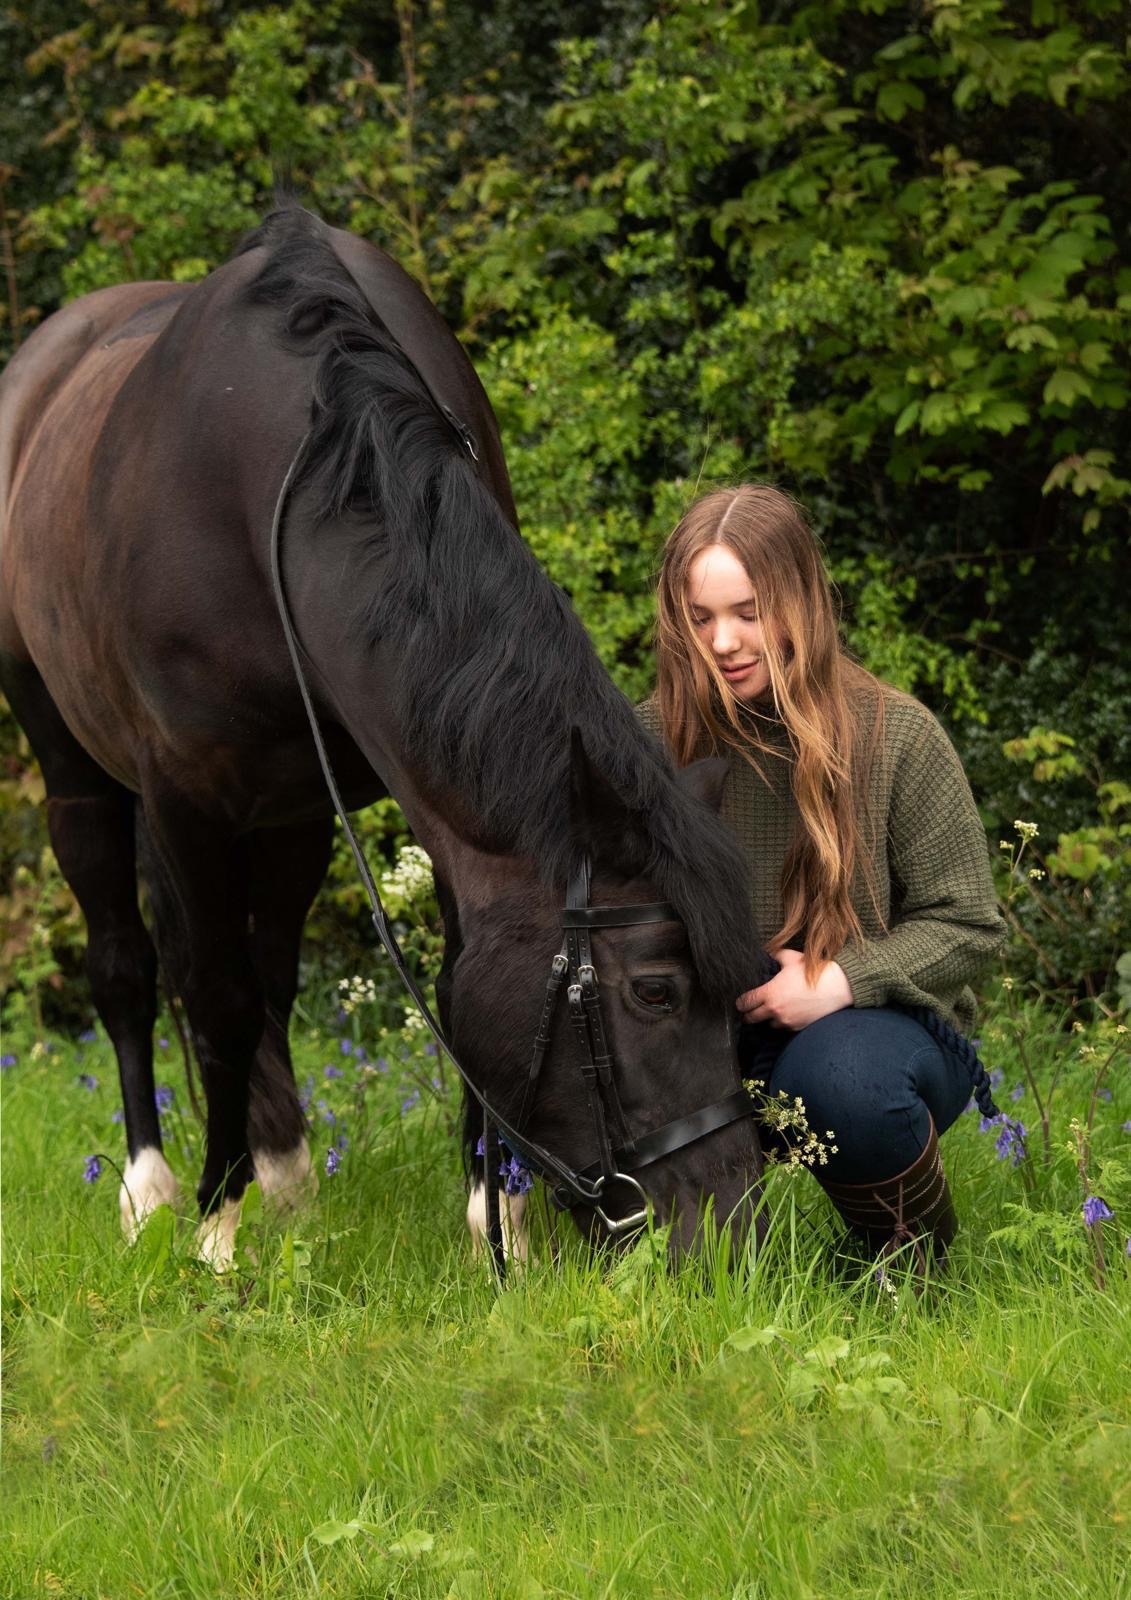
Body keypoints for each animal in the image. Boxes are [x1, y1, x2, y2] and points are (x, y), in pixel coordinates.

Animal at [0, 205, 770, 1266]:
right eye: (655, 992)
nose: (734, 1228)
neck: (273, 487)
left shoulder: (424, 790)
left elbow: (438, 981)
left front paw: (496, 1222)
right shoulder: (186, 799)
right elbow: (215, 1002)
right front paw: (215, 1230)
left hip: (290, 815)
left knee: (272, 974)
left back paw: (286, 1177)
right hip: (78, 772)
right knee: (131, 970)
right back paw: (152, 1191)